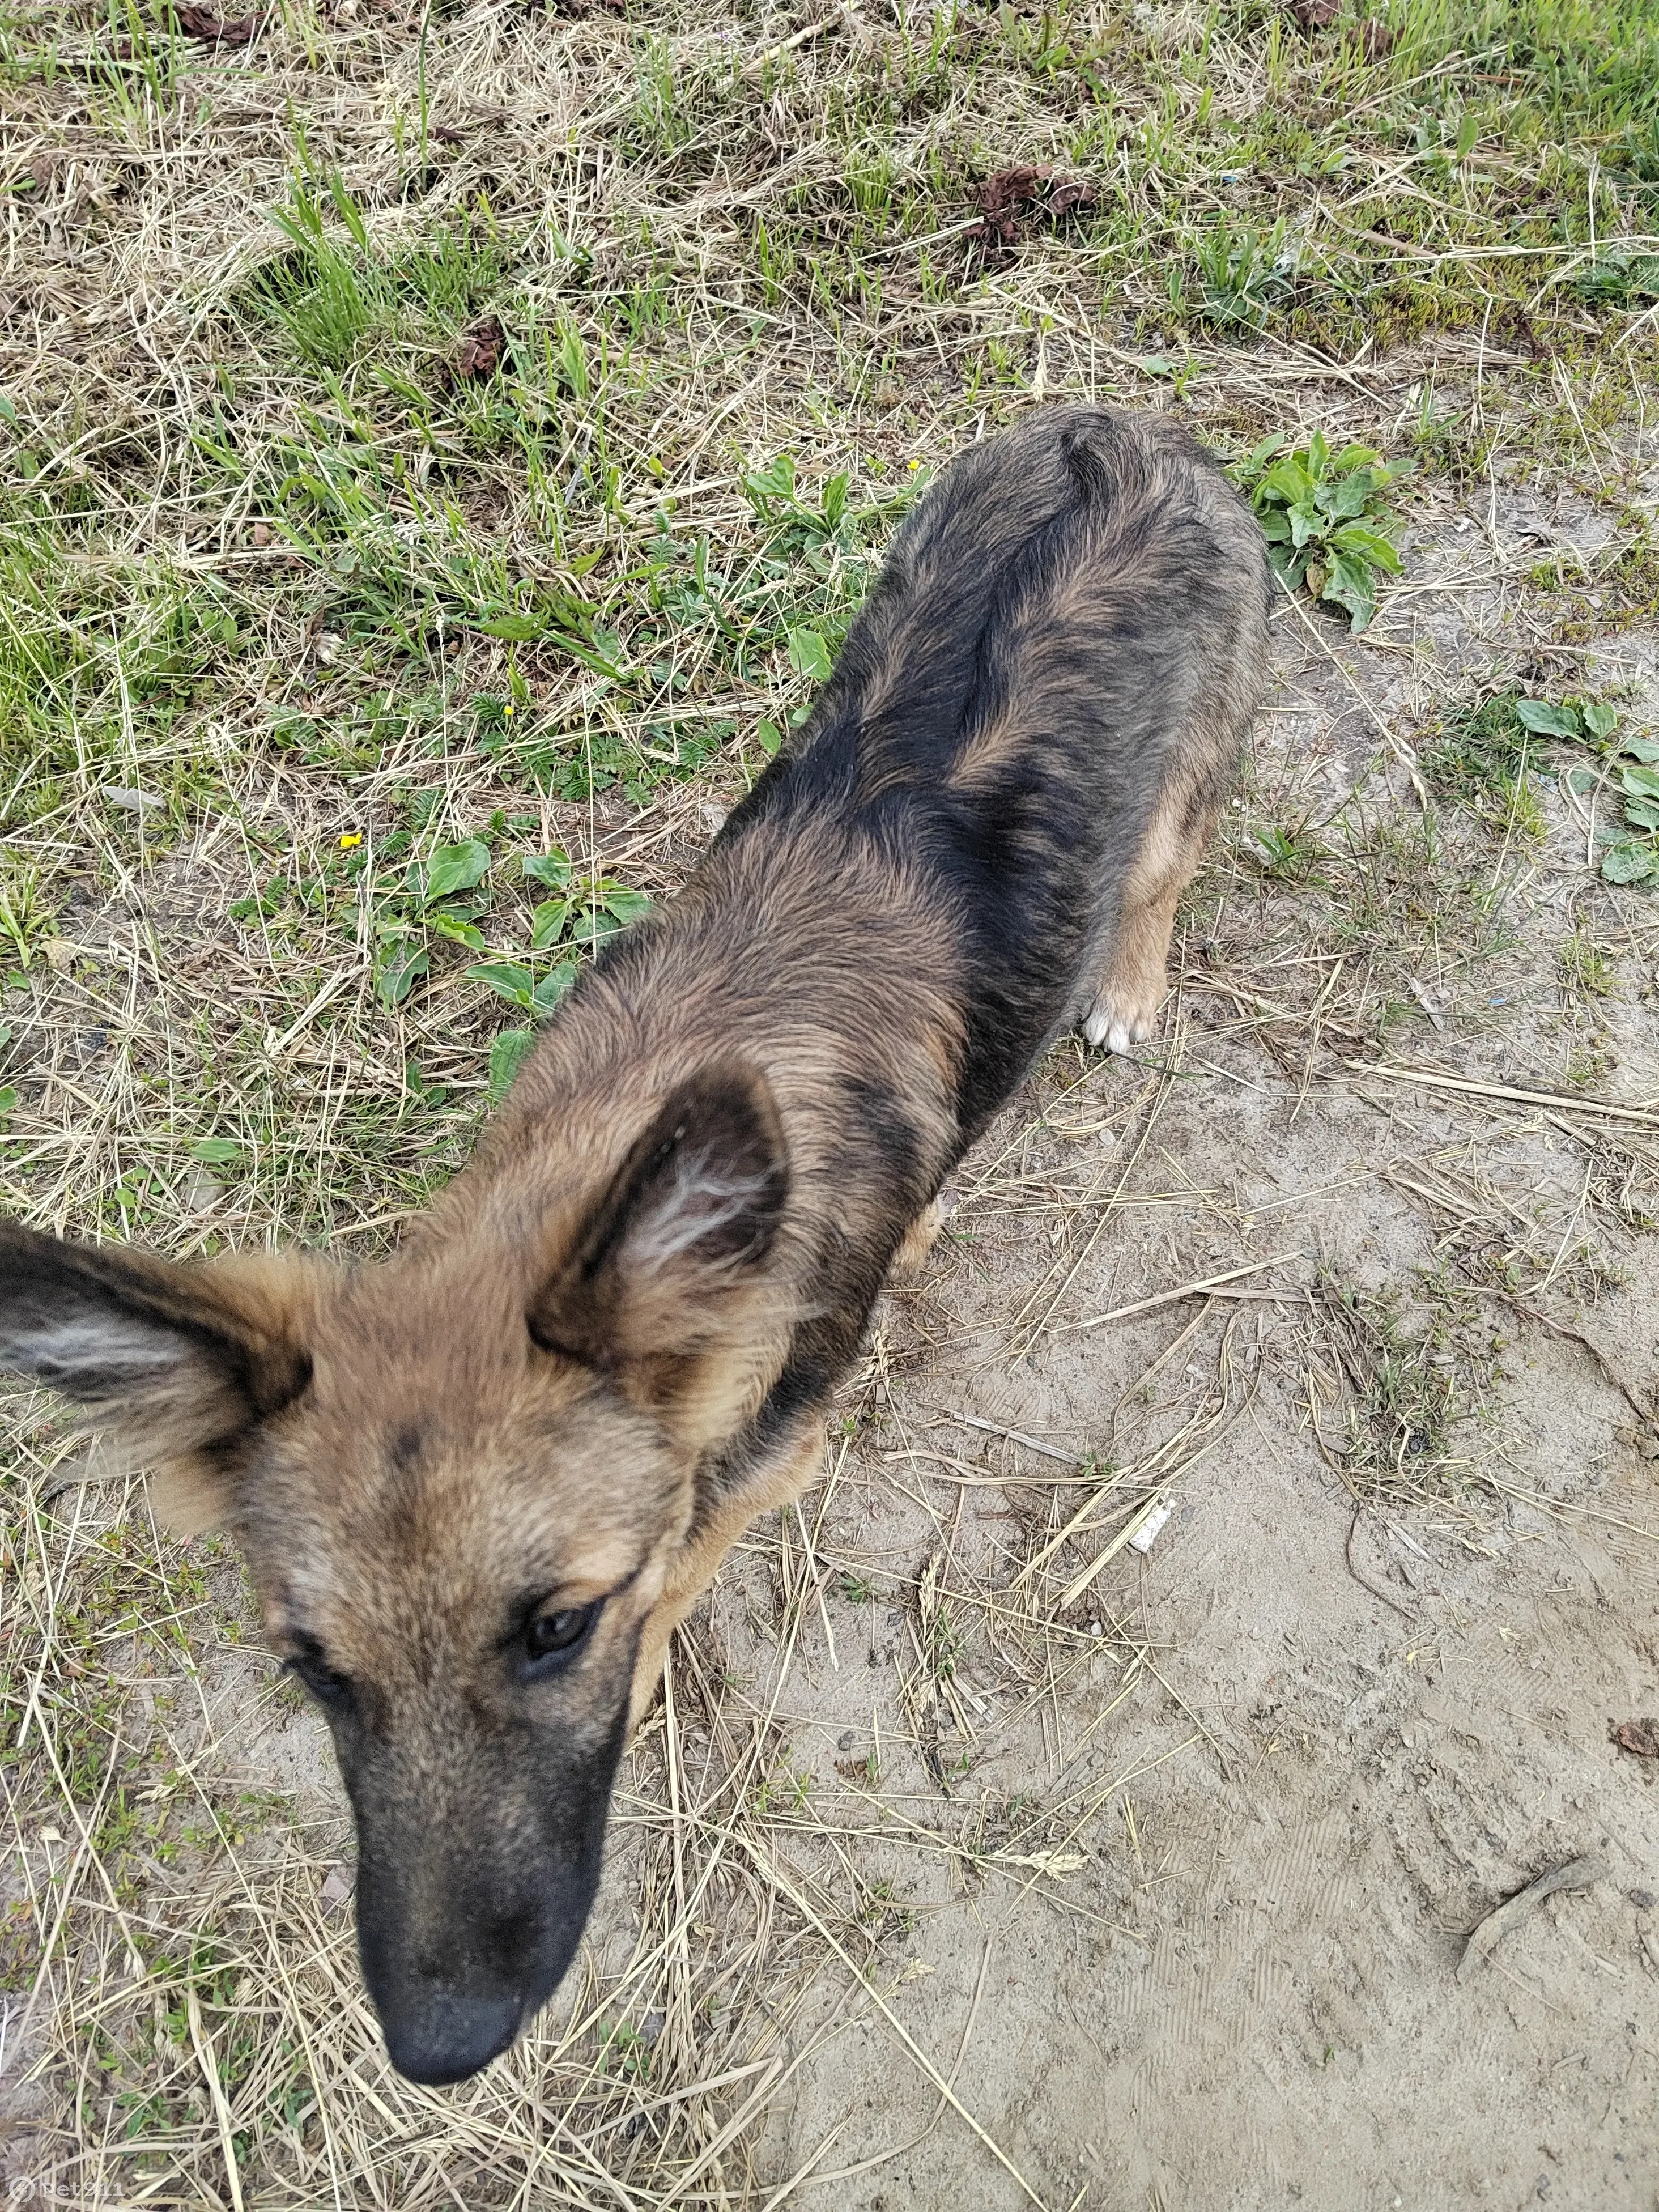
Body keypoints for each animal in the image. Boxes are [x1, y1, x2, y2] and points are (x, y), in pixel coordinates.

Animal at [0, 402, 1265, 2088]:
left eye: (557, 1628)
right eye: (316, 1669)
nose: (440, 2047)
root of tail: (1113, 434)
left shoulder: (764, 1449)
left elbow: (685, 1562)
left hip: (1182, 786)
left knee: (1167, 871)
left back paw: (1123, 983)